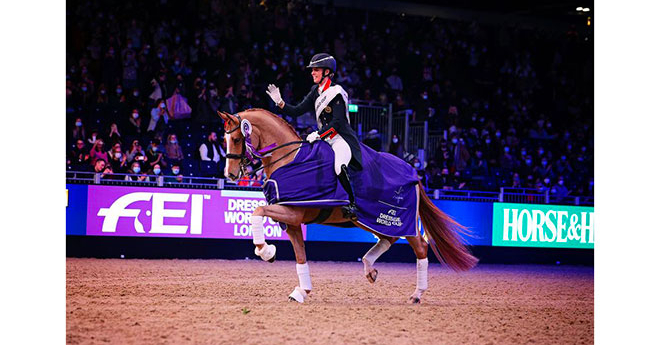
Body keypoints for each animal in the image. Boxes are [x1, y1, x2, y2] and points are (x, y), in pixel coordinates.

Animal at [219, 109, 476, 302]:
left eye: (237, 139)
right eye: (224, 140)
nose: (230, 174)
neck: (290, 158)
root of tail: (414, 171)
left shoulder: (292, 212)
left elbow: (256, 212)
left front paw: (265, 251)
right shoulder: (292, 220)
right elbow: (300, 255)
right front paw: (301, 291)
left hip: (400, 221)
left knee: (420, 248)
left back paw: (416, 294)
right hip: (372, 220)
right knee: (389, 238)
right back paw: (369, 268)